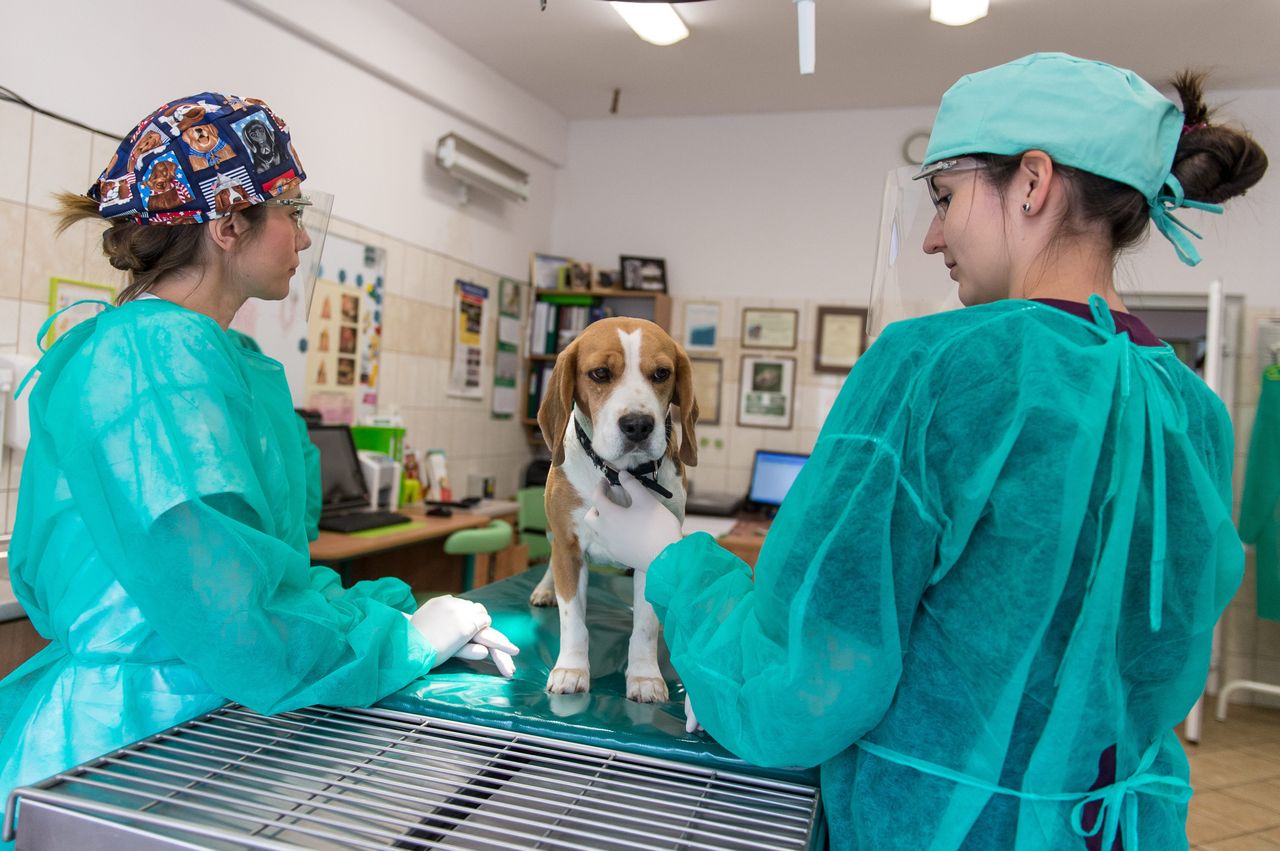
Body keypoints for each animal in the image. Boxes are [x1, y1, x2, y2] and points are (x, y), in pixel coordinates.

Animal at [527, 314, 701, 701]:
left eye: (661, 373)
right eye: (600, 373)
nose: (637, 424)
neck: (621, 476)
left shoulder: (652, 555)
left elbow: (645, 628)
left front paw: (645, 677)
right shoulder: (569, 549)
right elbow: (573, 622)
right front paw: (571, 670)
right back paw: (545, 588)